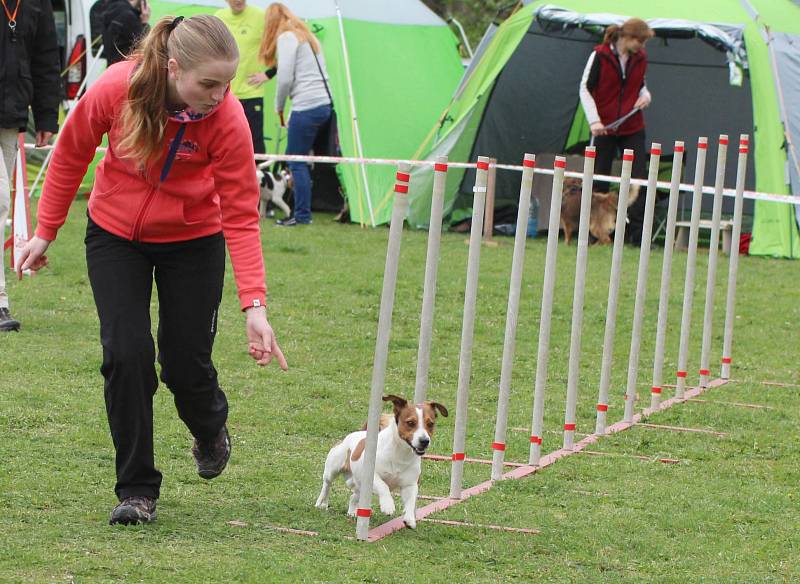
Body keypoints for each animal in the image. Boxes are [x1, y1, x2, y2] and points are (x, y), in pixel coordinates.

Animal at [316, 394, 446, 528]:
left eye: (430, 423)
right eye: (410, 422)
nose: (424, 441)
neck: (400, 453)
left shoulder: (410, 484)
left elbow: (411, 500)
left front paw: (410, 519)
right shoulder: (371, 476)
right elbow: (383, 486)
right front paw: (388, 506)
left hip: (360, 485)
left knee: (353, 496)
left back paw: (352, 512)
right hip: (333, 468)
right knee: (327, 484)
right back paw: (322, 503)